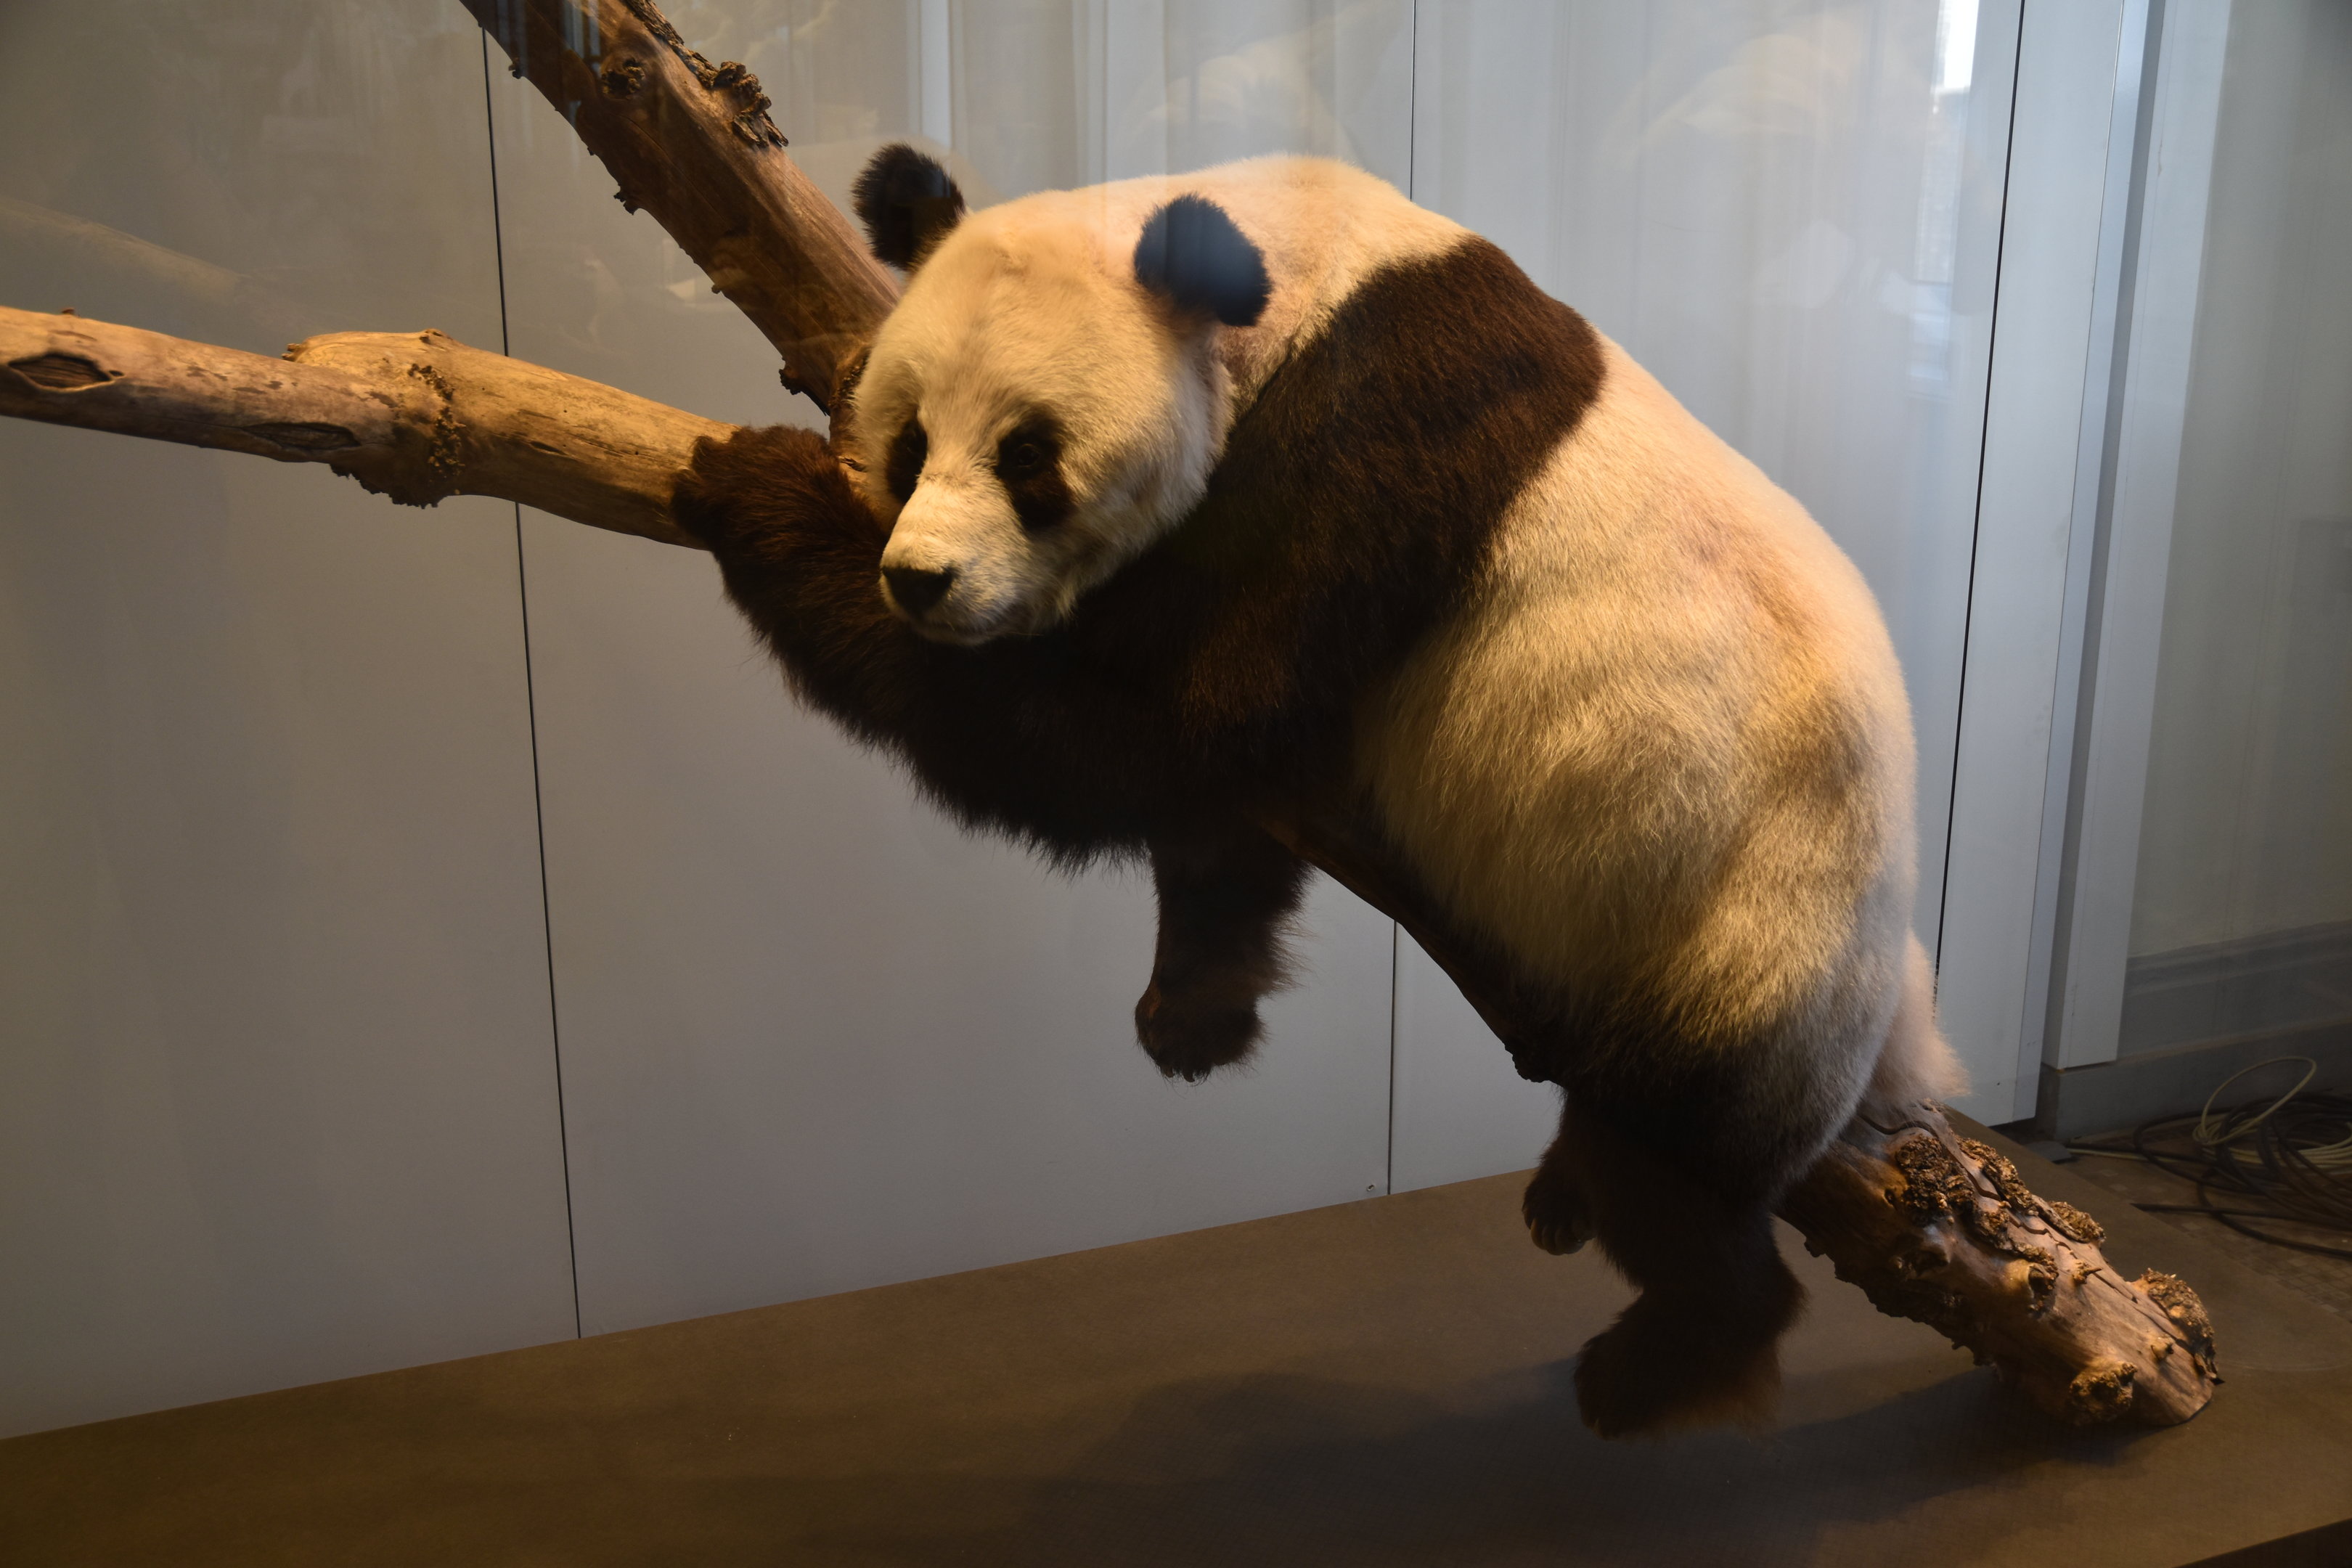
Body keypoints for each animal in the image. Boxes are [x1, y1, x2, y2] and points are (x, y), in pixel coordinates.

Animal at [671, 145, 1963, 1438]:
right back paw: (1565, 1198)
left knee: (1676, 1158)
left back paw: (1653, 1364)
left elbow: (1162, 731)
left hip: (1742, 922)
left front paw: (755, 491)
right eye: (909, 442)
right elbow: (1221, 817)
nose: (920, 582)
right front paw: (1193, 1016)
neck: (1291, 285)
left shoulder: (1375, 436)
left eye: (1027, 457)